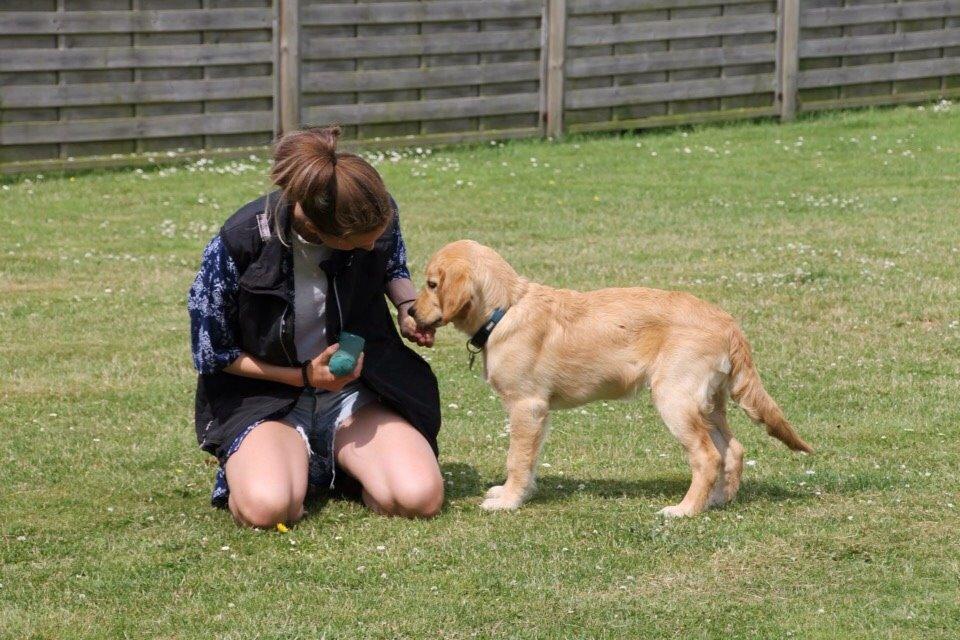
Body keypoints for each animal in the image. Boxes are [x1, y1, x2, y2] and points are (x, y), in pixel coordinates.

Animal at [408, 238, 812, 516]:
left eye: (431, 284)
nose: (410, 312)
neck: (505, 309)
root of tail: (727, 322)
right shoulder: (537, 414)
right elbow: (530, 460)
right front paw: (515, 493)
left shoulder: (527, 406)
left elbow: (517, 459)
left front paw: (509, 500)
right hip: (709, 402)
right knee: (734, 449)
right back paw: (717, 500)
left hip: (674, 399)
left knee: (707, 456)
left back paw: (685, 509)